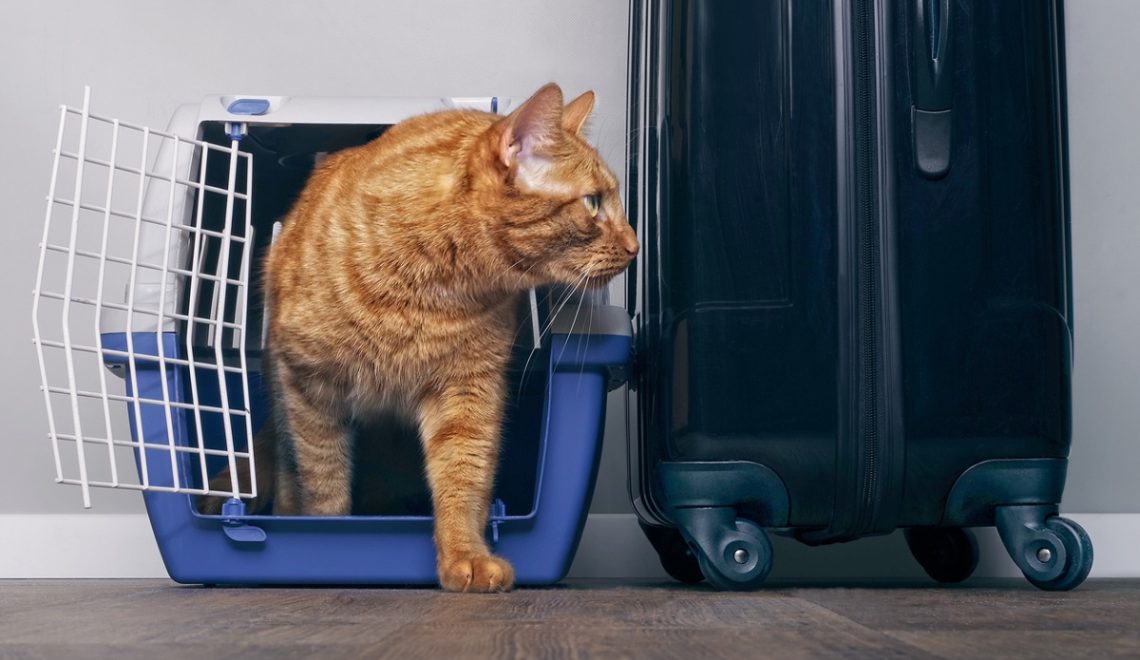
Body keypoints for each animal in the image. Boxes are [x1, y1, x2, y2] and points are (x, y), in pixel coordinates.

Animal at [199, 83, 638, 592]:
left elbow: (463, 477)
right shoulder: (307, 387)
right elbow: (323, 484)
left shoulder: (467, 392)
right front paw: (326, 539)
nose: (636, 246)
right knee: (283, 458)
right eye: (593, 203)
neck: (431, 284)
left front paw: (465, 555)